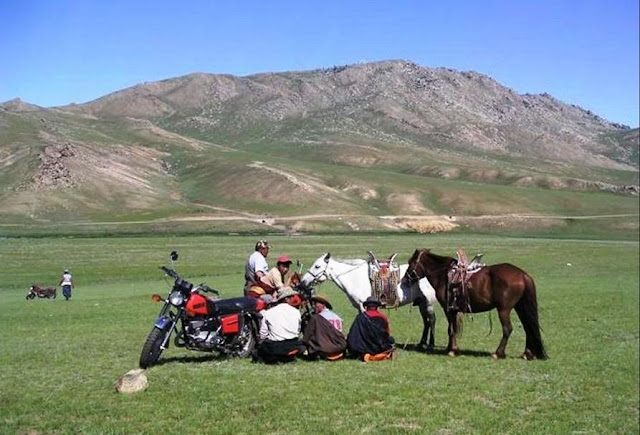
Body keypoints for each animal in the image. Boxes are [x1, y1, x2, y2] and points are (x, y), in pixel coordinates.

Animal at [298, 252, 438, 350]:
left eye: (317, 266)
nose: (302, 283)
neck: (353, 278)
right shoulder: (359, 307)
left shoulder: (363, 305)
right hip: (422, 302)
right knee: (426, 321)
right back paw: (421, 343)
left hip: (429, 302)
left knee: (431, 320)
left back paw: (430, 344)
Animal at [404, 249, 544, 362]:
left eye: (410, 263)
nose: (405, 280)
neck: (443, 275)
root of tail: (523, 275)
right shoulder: (453, 310)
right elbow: (452, 328)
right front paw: (450, 348)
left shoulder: (448, 309)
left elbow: (451, 329)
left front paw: (452, 350)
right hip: (520, 307)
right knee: (528, 327)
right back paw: (527, 354)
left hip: (504, 309)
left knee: (507, 329)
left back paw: (498, 354)